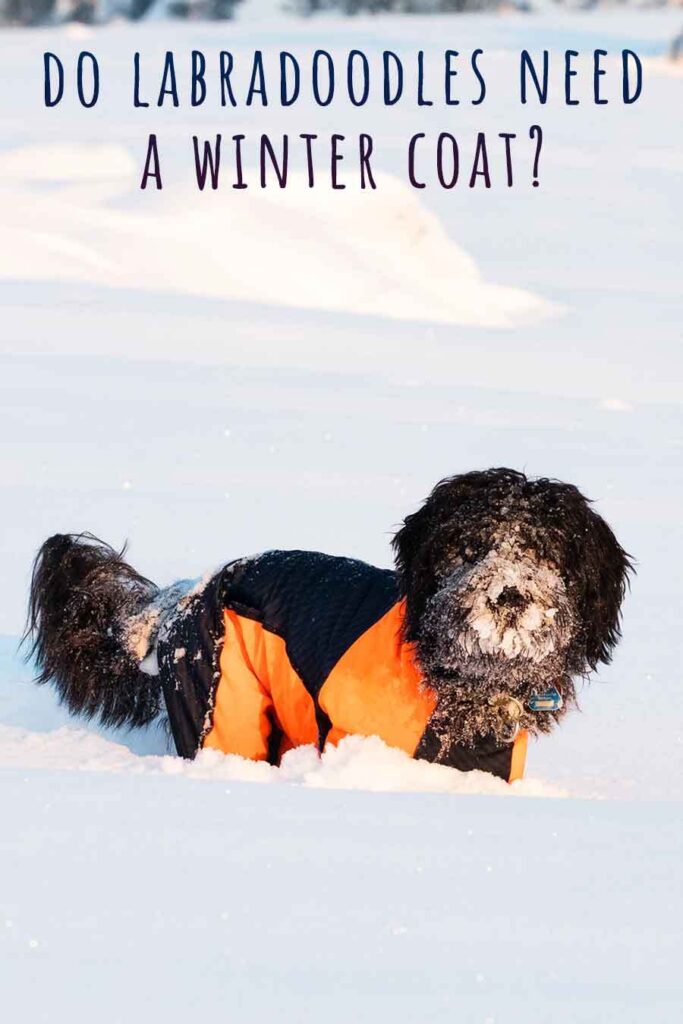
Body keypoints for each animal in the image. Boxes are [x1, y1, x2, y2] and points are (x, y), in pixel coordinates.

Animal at [24, 468, 634, 778]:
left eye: (546, 553)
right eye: (469, 547)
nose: (508, 595)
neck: (456, 674)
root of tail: (180, 596)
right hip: (222, 703)